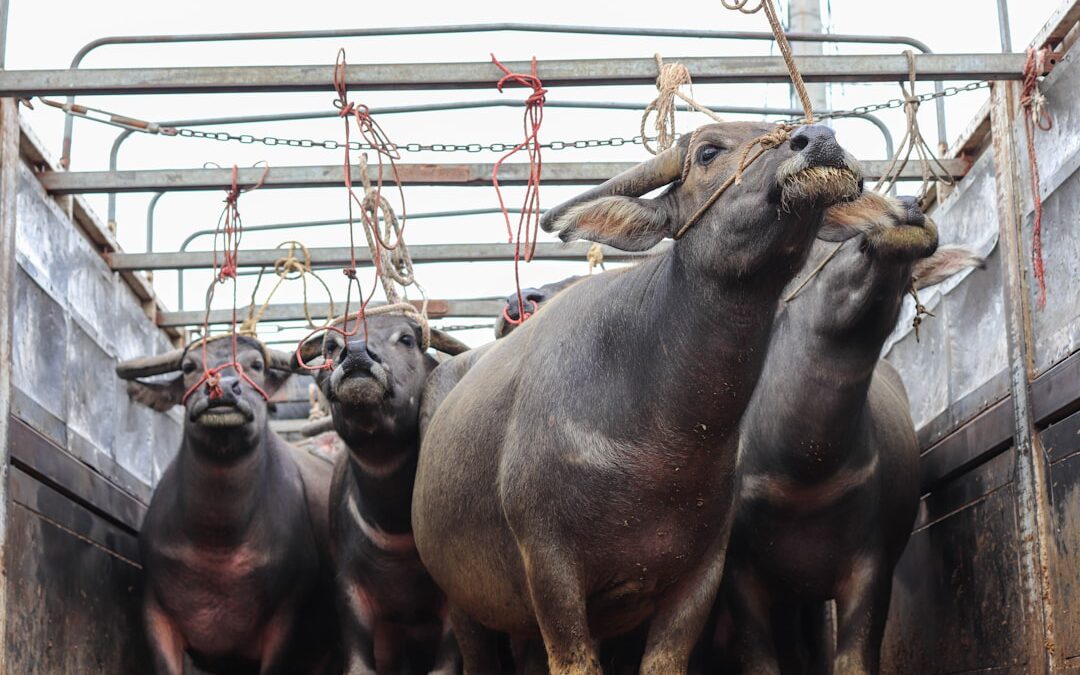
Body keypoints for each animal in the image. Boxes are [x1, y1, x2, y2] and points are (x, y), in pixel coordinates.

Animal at [116, 334, 339, 673]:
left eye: (256, 365)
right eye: (189, 367)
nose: (221, 387)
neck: (218, 542)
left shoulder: (285, 623)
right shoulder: (156, 612)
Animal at [410, 122, 859, 673]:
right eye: (708, 151)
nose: (818, 137)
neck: (665, 438)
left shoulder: (700, 576)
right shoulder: (550, 567)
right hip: (464, 602)